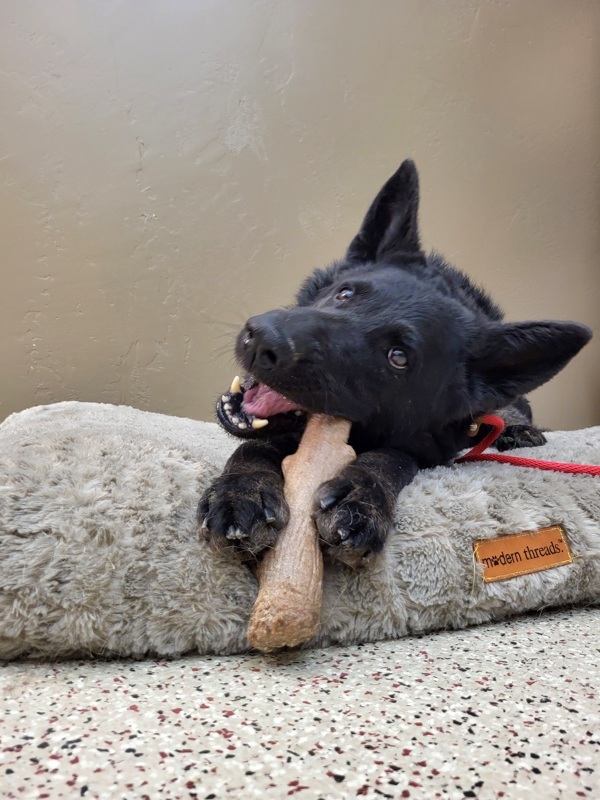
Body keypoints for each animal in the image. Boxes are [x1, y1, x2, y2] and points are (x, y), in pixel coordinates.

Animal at [200, 161, 592, 564]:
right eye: (345, 293)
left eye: (398, 357)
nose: (263, 337)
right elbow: (252, 446)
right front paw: (241, 490)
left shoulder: (425, 451)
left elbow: (390, 457)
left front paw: (363, 495)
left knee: (510, 410)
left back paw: (518, 430)